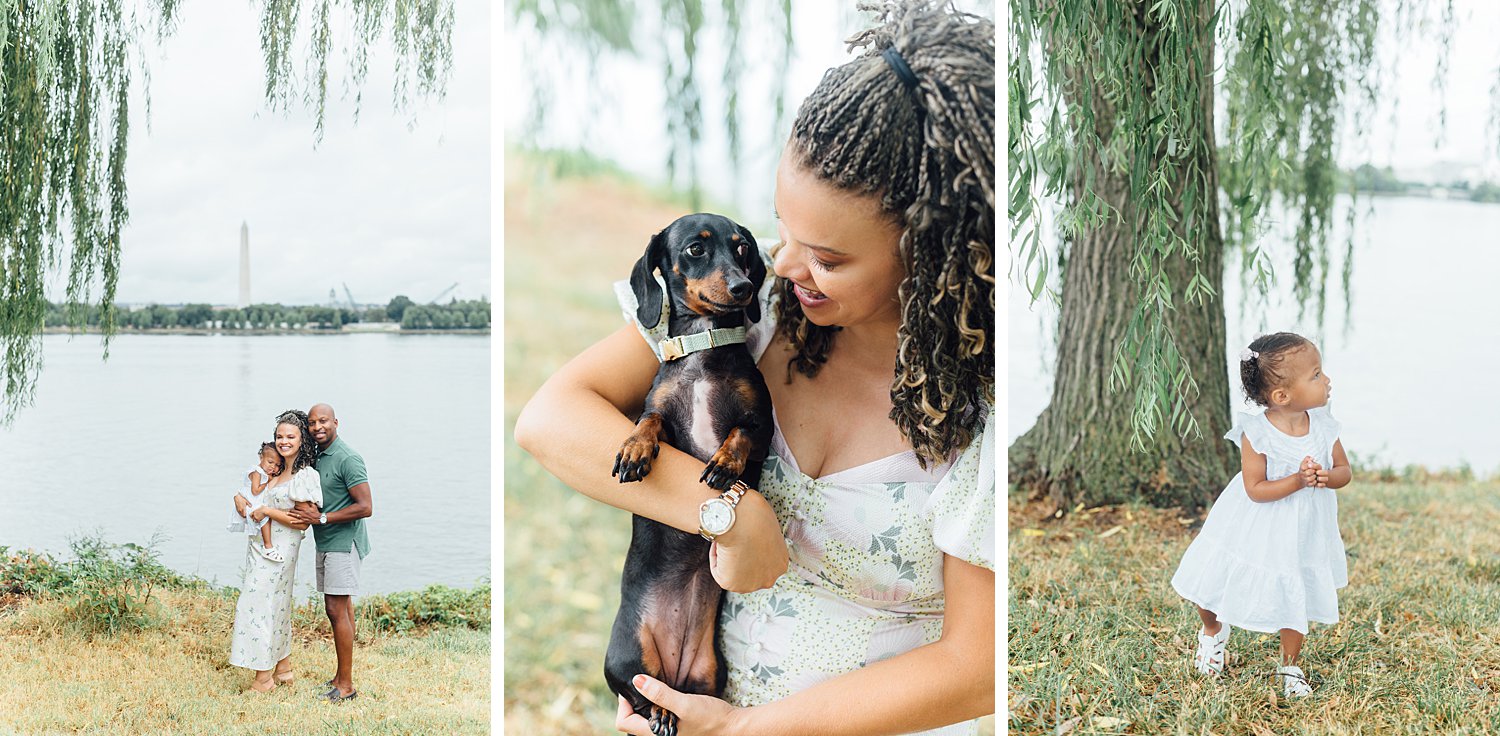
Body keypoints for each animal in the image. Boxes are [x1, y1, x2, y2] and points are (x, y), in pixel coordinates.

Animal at [606, 212, 774, 736]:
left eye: (742, 249)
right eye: (696, 250)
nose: (743, 287)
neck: (704, 344)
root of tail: (674, 672)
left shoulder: (762, 422)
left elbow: (740, 432)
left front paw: (723, 463)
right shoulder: (658, 406)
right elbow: (649, 421)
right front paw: (635, 450)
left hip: (709, 672)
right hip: (626, 657)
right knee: (639, 692)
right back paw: (659, 710)